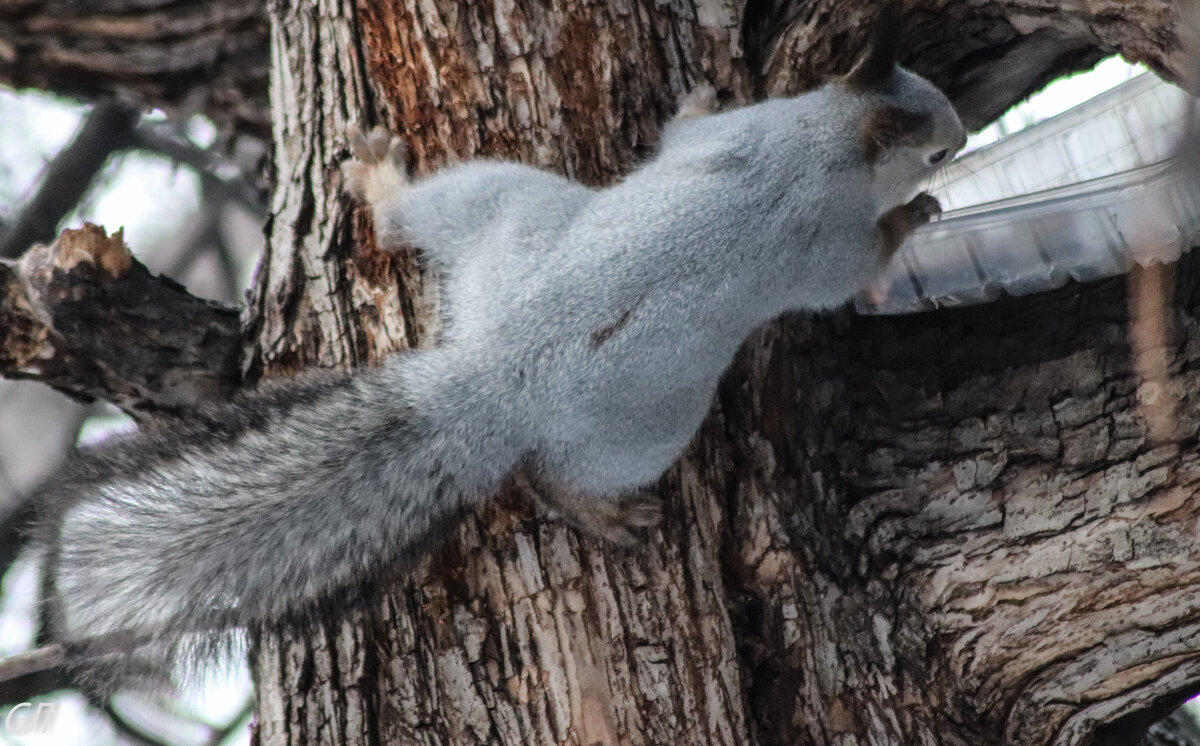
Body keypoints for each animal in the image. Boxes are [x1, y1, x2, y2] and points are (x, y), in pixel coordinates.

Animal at [25, 17, 964, 686]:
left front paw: (699, 97)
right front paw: (913, 218)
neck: (822, 137)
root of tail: (494, 374)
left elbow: (682, 137)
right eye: (939, 147)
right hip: (650, 420)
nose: (956, 146)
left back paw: (381, 187)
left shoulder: (730, 140)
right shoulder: (826, 244)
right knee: (555, 477)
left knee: (415, 219)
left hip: (500, 205)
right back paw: (603, 513)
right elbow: (856, 264)